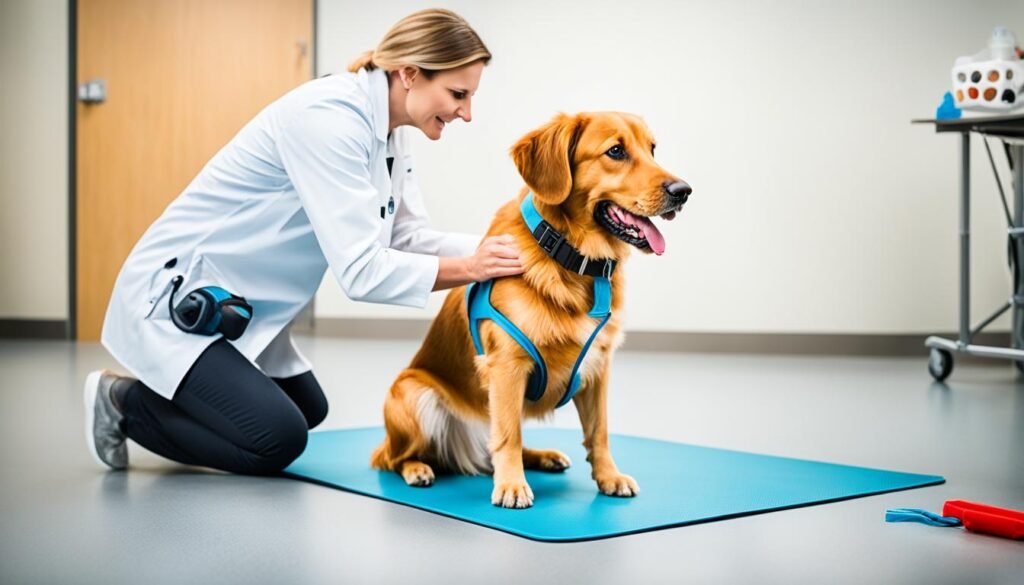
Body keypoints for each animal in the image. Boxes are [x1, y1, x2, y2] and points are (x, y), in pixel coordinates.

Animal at [372, 111, 692, 508]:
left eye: (652, 150)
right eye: (615, 151)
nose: (684, 191)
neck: (572, 260)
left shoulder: (599, 367)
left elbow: (599, 432)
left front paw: (609, 476)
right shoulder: (507, 367)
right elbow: (508, 435)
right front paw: (511, 485)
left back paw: (543, 457)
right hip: (412, 392)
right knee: (391, 457)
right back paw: (417, 468)